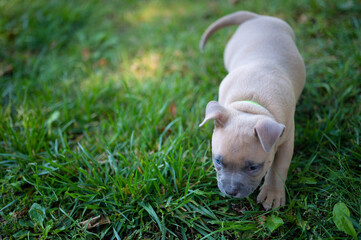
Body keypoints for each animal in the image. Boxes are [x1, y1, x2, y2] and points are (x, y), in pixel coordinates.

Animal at [198, 11, 306, 210]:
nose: (230, 192)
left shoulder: (286, 141)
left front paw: (272, 194)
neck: (252, 106)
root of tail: (257, 17)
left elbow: (278, 168)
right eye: (218, 161)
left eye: (253, 167)